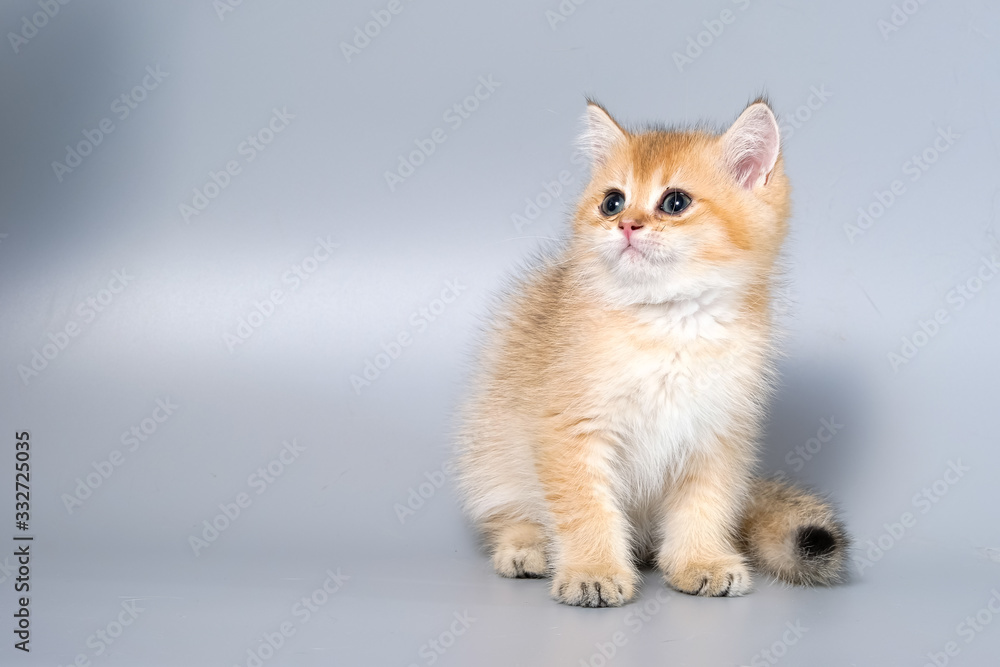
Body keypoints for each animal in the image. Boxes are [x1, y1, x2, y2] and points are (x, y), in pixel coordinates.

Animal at [458, 100, 848, 612]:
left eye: (675, 202)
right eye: (612, 202)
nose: (626, 224)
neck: (671, 325)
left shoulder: (717, 434)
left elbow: (704, 506)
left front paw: (700, 561)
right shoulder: (571, 432)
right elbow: (585, 509)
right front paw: (593, 571)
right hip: (490, 452)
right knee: (509, 512)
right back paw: (527, 546)